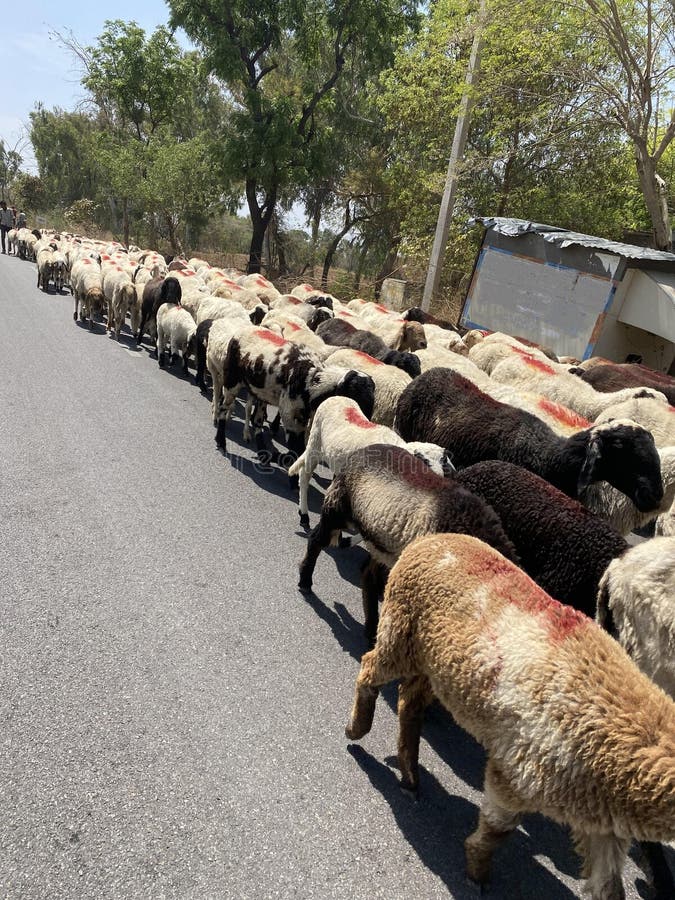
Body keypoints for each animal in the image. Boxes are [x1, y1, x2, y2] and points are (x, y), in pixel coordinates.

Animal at [298, 446, 516, 644]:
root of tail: (365, 449)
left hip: (386, 545)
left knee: (368, 575)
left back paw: (370, 630)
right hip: (338, 508)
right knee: (316, 540)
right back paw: (305, 581)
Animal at [346, 536, 675, 900]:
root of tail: (433, 539)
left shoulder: (601, 826)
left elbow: (609, 886)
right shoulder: (515, 775)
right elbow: (498, 830)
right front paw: (477, 872)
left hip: (435, 664)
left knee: (409, 703)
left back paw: (410, 775)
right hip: (401, 628)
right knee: (370, 668)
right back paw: (357, 729)